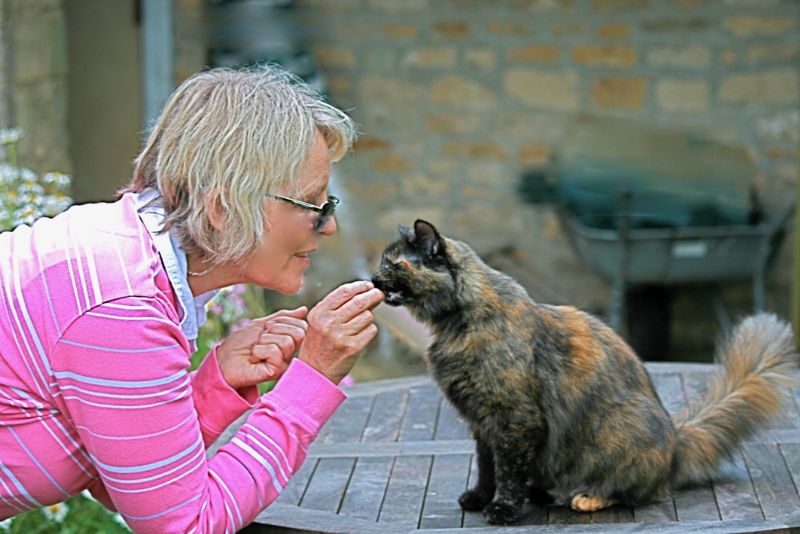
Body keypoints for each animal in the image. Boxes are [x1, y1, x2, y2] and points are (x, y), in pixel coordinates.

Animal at [372, 220, 796, 524]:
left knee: (637, 492)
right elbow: (487, 467)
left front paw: (502, 509)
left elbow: (508, 473)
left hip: (618, 424)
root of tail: (676, 444)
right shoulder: (483, 424)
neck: (460, 322)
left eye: (393, 264)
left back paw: (586, 497)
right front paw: (478, 497)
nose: (374, 279)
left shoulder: (513, 420)